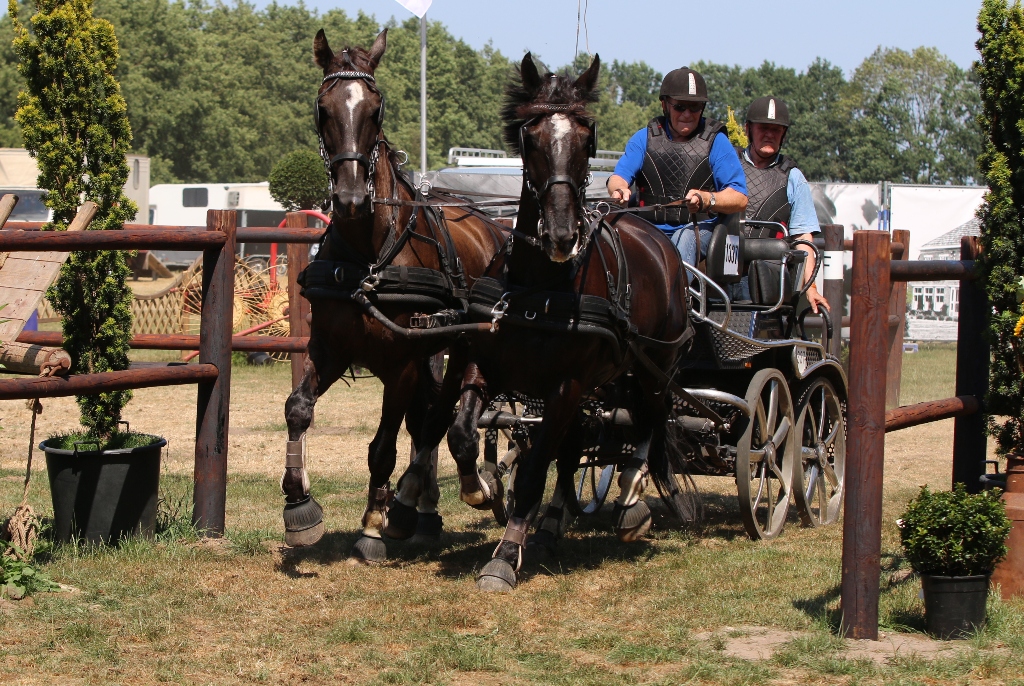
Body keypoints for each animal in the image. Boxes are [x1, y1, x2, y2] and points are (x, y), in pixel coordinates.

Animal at [281, 28, 509, 563]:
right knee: (430, 418)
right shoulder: (331, 348)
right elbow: (298, 409)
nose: (350, 199)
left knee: (441, 418)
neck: (370, 256)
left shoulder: (401, 363)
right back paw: (424, 508)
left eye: (375, 109)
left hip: (460, 343)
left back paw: (460, 490)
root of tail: (491, 223)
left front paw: (371, 525)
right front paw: (298, 503)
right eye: (323, 108)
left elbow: (383, 446)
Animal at [384, 53, 694, 591]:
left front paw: (506, 555)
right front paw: (480, 491)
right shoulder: (484, 364)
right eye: (530, 137)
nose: (562, 233)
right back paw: (552, 526)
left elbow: (532, 471)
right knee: (581, 444)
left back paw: (632, 498)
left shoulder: (566, 385)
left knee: (652, 423)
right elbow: (461, 434)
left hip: (654, 366)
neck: (538, 285)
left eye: (588, 136)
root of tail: (655, 235)